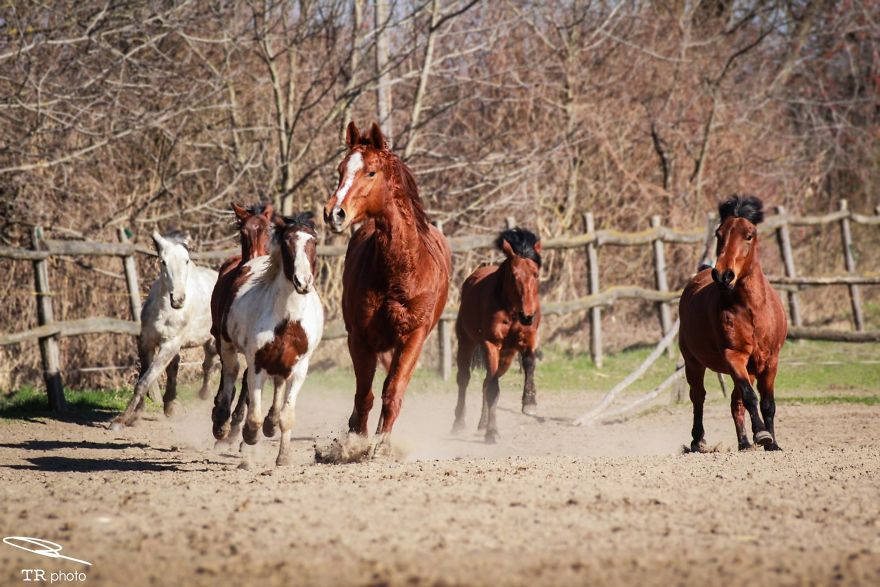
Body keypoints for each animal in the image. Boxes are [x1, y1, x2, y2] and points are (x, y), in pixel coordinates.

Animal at [111, 231, 218, 429]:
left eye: (186, 260)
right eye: (163, 261)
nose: (178, 299)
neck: (166, 311)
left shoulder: (170, 344)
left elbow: (145, 381)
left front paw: (121, 420)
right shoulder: (146, 342)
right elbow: (144, 377)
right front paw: (135, 414)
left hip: (213, 340)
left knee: (214, 363)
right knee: (189, 365)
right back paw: (175, 402)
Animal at [323, 121, 451, 454]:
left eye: (371, 172)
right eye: (341, 169)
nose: (334, 213)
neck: (400, 271)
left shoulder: (413, 337)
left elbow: (392, 391)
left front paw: (381, 445)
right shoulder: (359, 338)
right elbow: (364, 395)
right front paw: (354, 442)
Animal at [451, 228, 542, 443]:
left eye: (536, 274)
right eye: (514, 275)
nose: (527, 316)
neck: (512, 310)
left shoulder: (528, 339)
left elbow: (529, 363)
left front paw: (529, 403)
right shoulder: (491, 344)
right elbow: (493, 389)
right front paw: (492, 433)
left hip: (506, 357)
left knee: (487, 380)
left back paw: (482, 423)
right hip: (466, 342)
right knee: (464, 379)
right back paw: (459, 423)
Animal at [679, 195, 787, 452]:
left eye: (749, 235)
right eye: (719, 233)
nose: (723, 274)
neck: (752, 310)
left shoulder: (770, 360)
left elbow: (767, 403)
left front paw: (772, 443)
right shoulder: (734, 356)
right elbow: (750, 397)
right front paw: (762, 434)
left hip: (749, 368)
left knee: (735, 403)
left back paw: (744, 443)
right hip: (693, 362)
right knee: (698, 396)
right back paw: (698, 440)